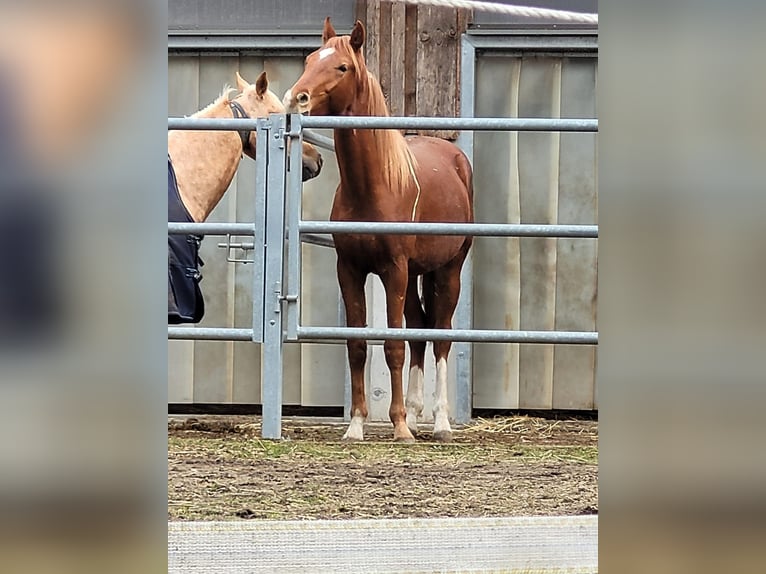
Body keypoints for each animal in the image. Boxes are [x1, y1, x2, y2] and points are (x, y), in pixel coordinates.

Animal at [284, 16, 472, 440]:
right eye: (309, 60)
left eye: (342, 67)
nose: (295, 98)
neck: (374, 188)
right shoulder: (350, 269)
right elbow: (357, 345)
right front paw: (357, 425)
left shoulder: (394, 270)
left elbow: (393, 345)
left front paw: (399, 425)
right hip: (418, 272)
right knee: (419, 326)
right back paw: (418, 414)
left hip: (448, 270)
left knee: (440, 335)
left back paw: (438, 422)